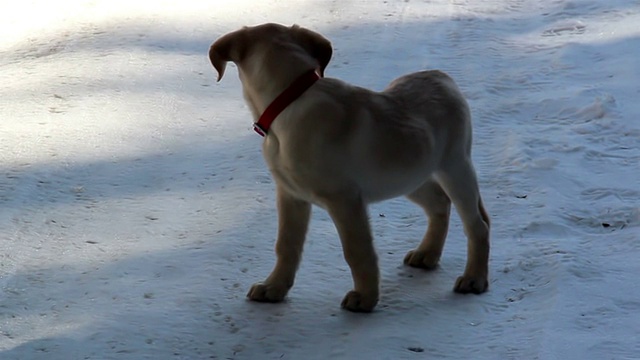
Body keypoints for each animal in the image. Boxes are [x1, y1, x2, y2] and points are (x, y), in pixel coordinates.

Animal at [210, 22, 490, 312]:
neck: (288, 102)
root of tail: (442, 76)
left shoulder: (345, 200)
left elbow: (357, 251)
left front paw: (365, 298)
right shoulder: (290, 195)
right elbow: (286, 245)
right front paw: (274, 288)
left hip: (455, 168)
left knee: (477, 225)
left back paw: (474, 279)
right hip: (409, 176)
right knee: (439, 204)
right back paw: (428, 254)